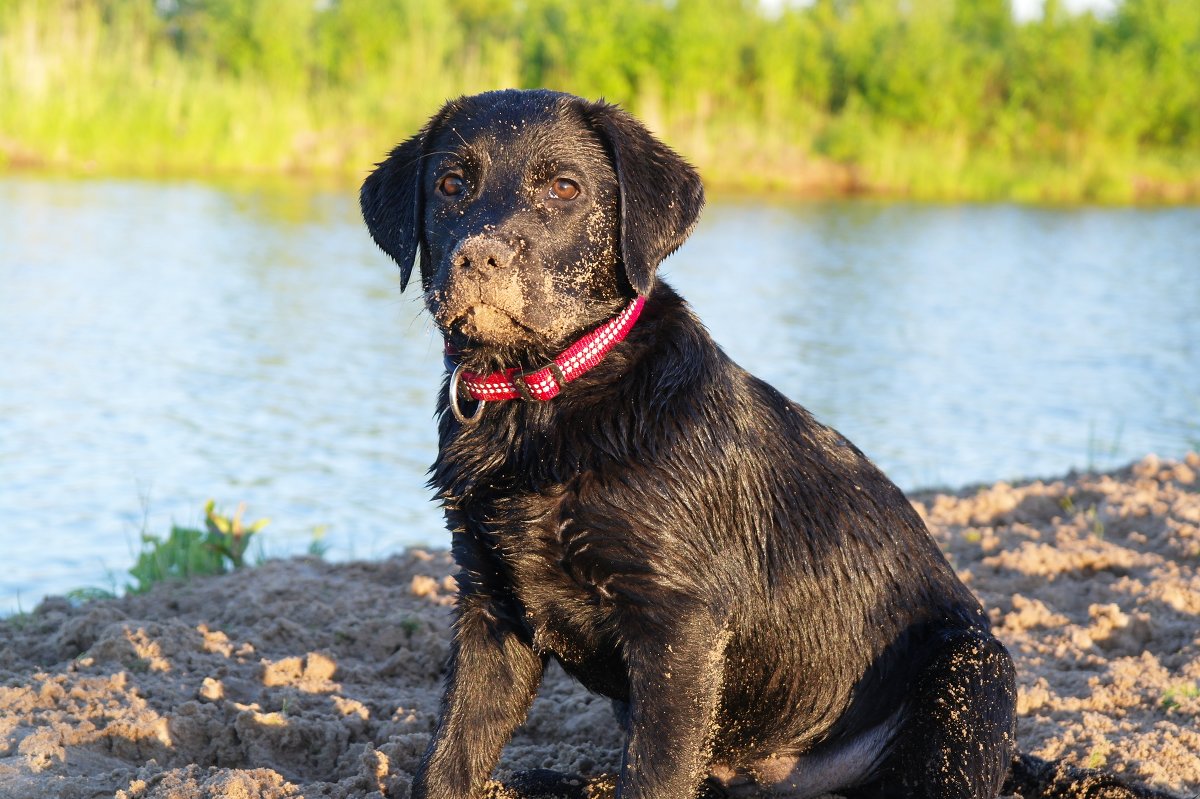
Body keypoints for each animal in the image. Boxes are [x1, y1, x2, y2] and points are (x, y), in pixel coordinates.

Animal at [360, 89, 1017, 796]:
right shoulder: (490, 605)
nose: (480, 257)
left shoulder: (677, 627)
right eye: (451, 185)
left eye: (564, 188)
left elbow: (655, 773)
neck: (541, 403)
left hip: (972, 671)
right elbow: (449, 758)